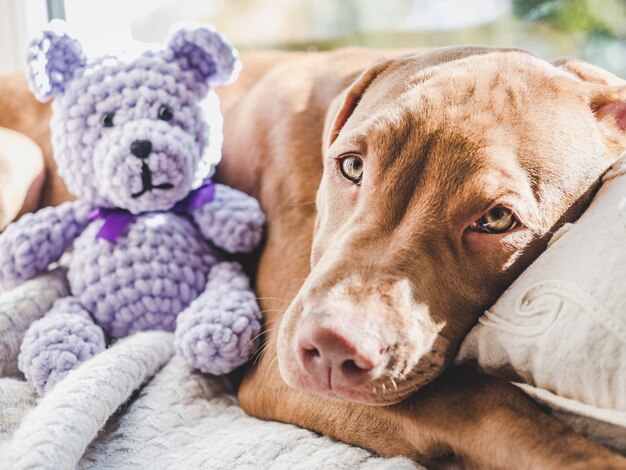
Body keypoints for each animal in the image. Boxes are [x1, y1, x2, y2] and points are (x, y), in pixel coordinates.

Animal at [1, 46, 624, 466]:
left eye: (496, 220)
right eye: (351, 165)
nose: (332, 348)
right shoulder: (281, 370)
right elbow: (479, 402)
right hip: (21, 158)